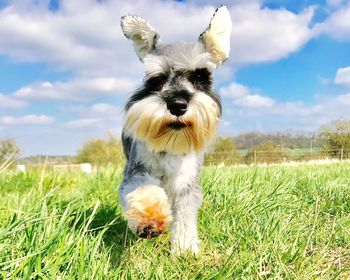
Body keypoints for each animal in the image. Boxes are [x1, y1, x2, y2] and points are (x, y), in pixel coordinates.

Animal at [119, 5, 231, 255]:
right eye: (156, 79)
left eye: (200, 76)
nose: (178, 105)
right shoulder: (137, 172)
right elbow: (145, 191)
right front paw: (150, 222)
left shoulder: (186, 184)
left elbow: (186, 216)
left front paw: (185, 250)